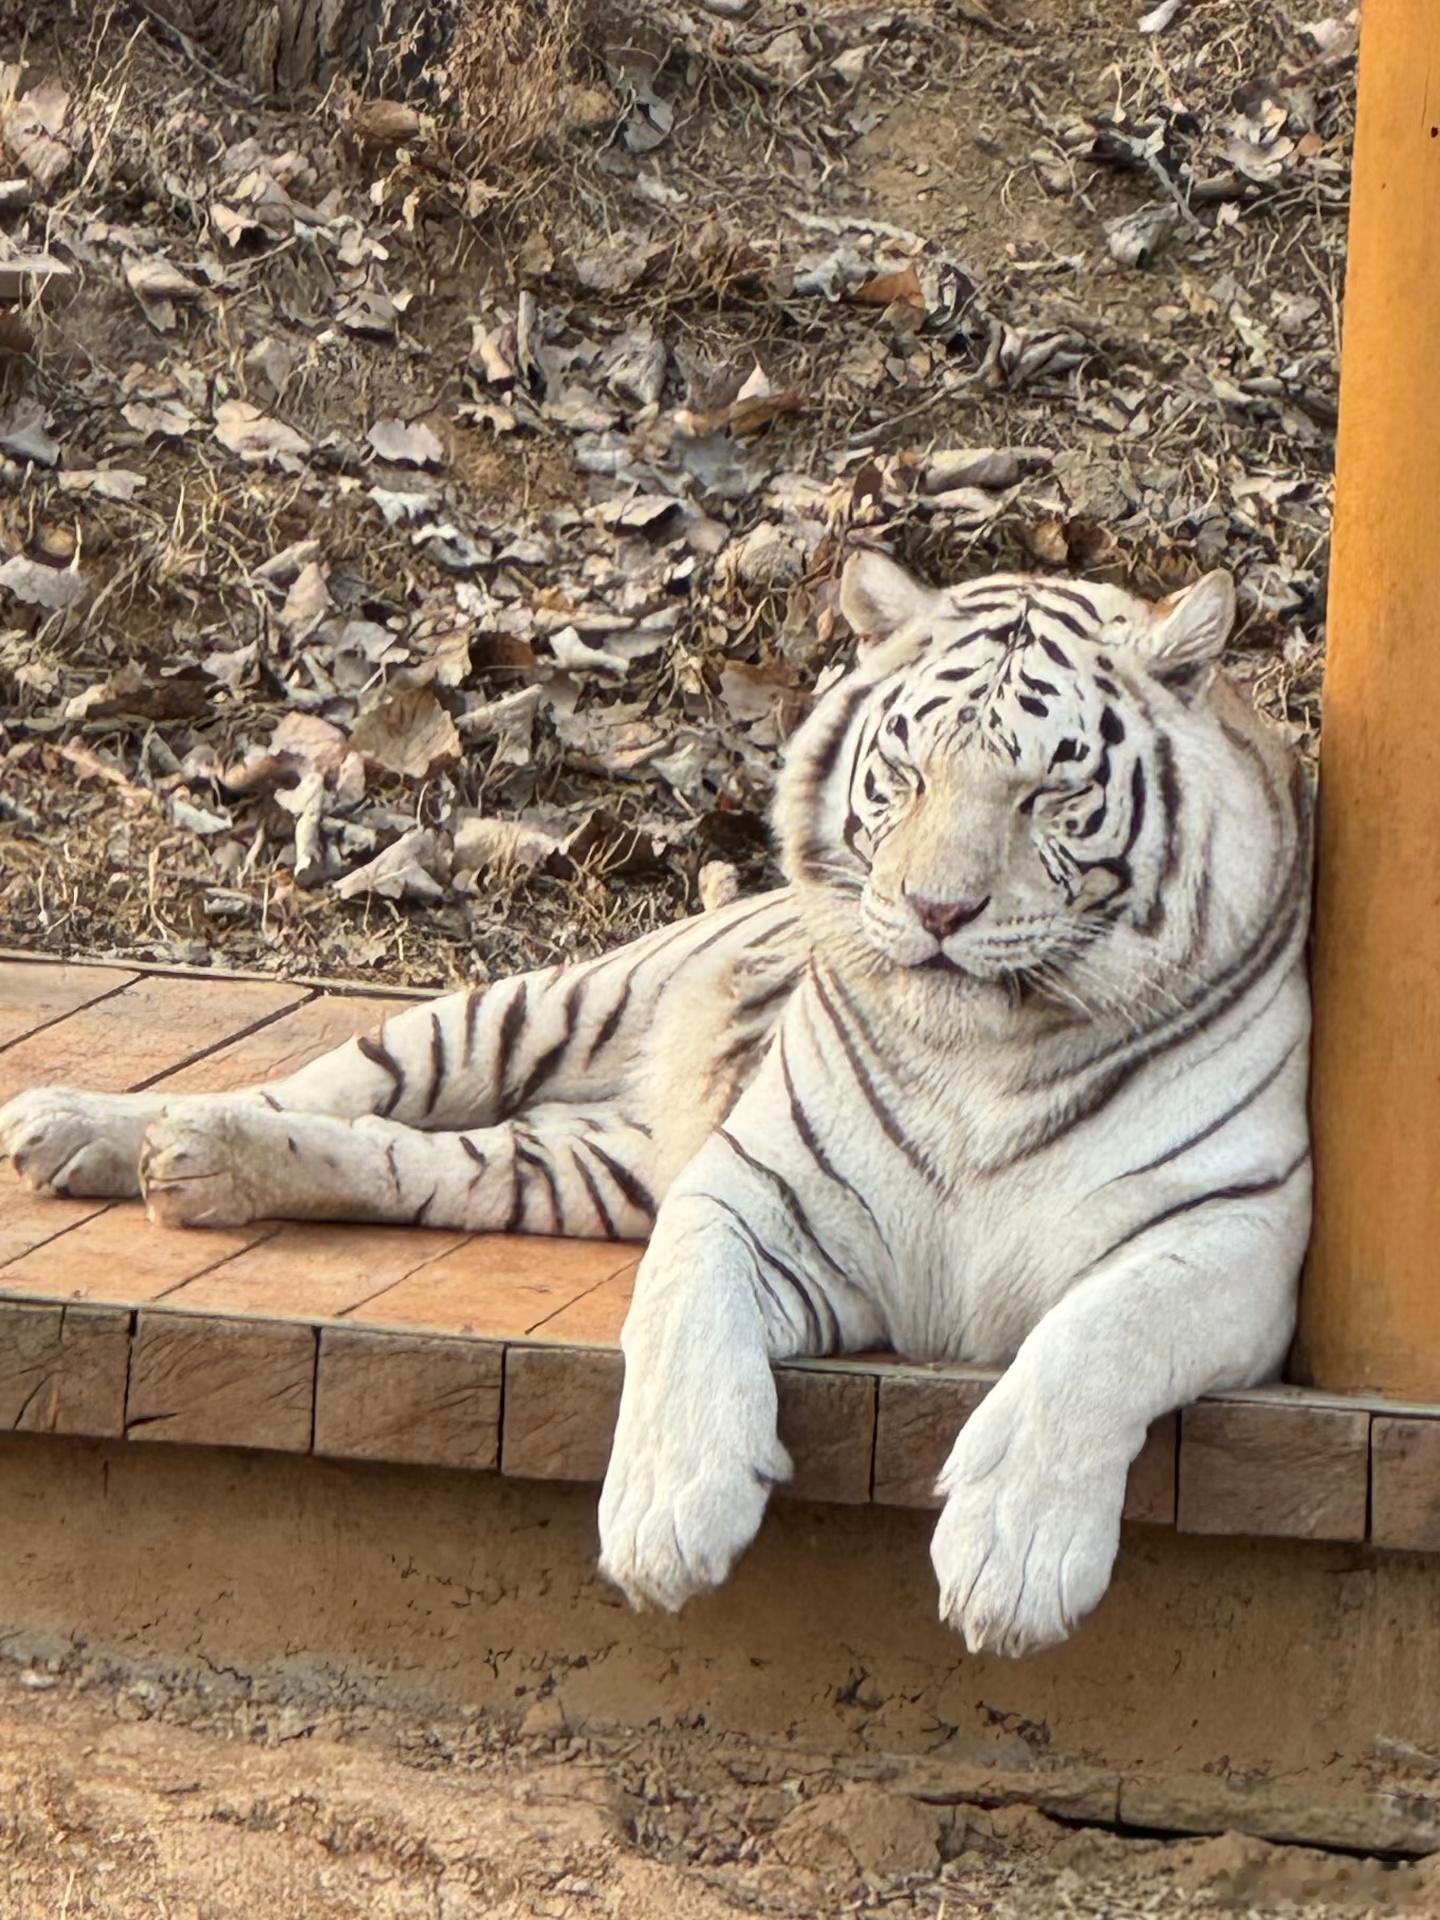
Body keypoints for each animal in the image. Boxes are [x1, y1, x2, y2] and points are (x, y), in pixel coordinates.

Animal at [0, 550, 1312, 1658]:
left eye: (1049, 794)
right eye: (905, 775)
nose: (936, 912)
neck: (981, 1060)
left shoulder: (1234, 1234)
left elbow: (1096, 1340)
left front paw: (1012, 1562)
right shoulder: (748, 1189)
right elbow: (681, 1312)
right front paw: (668, 1520)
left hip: (571, 1164)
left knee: (403, 1158)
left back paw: (198, 1165)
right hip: (540, 1002)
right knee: (335, 1078)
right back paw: (94, 1128)